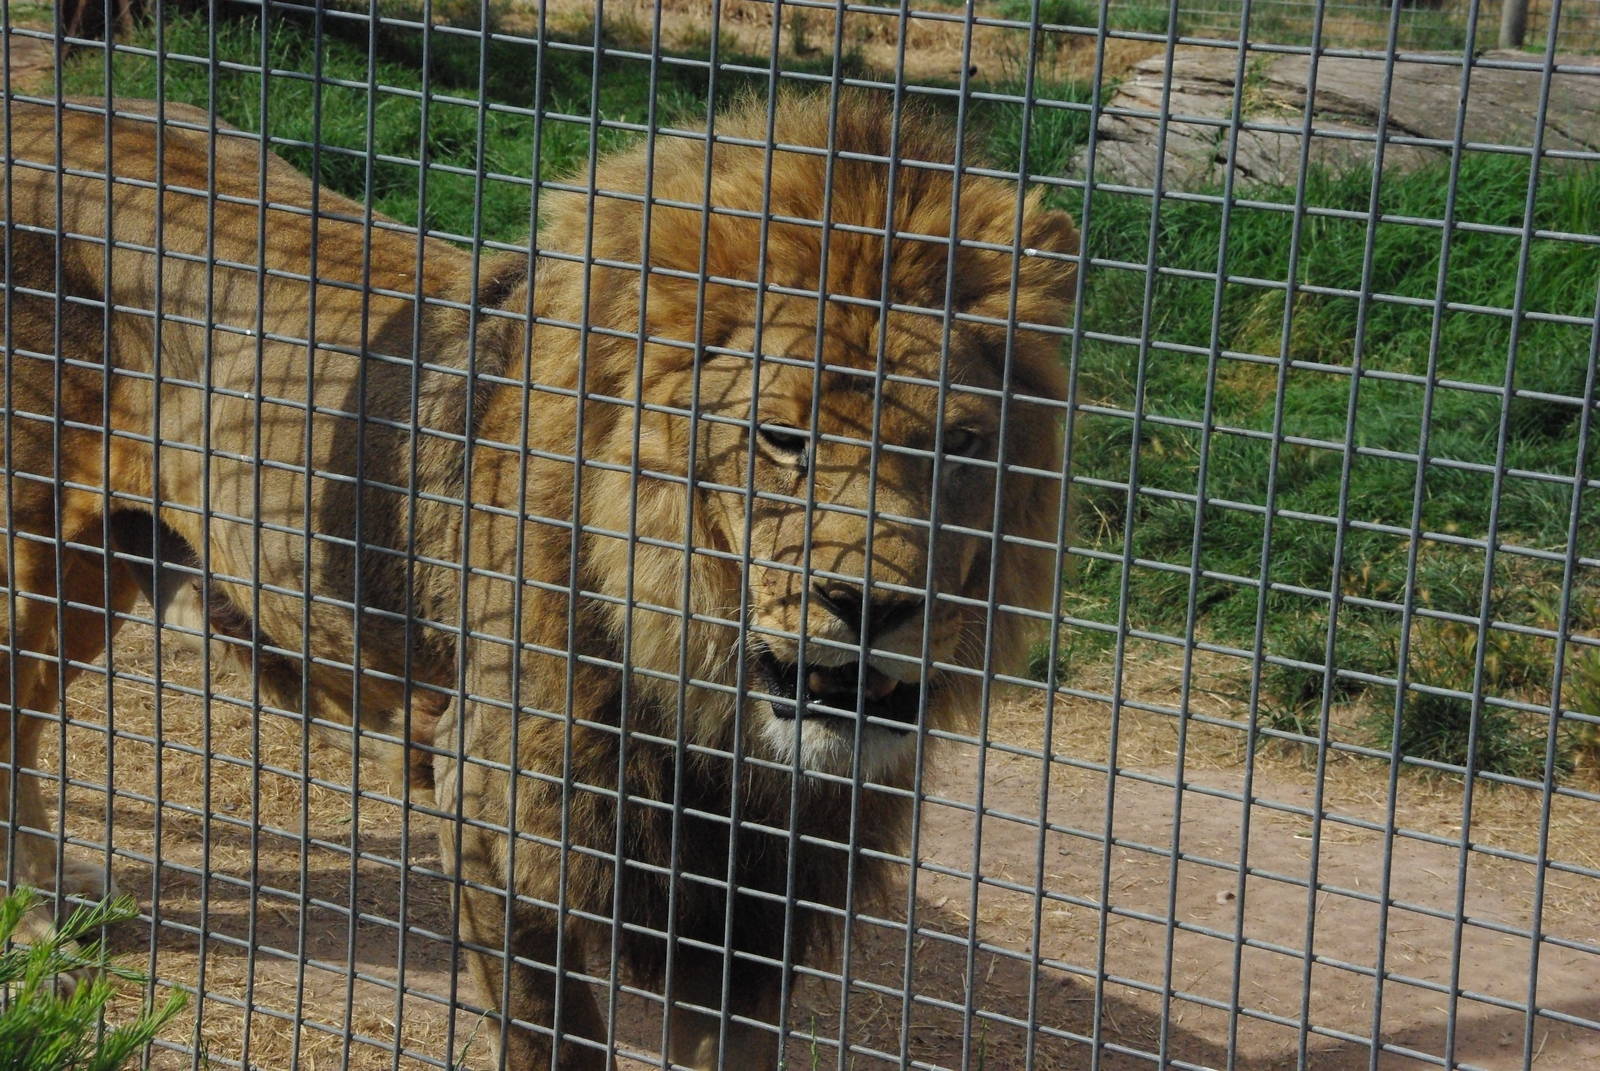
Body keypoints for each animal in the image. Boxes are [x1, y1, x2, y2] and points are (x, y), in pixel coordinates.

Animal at [0, 92, 1076, 1068]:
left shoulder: (750, 902)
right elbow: (547, 1039)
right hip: (37, 558)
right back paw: (39, 921)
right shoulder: (489, 811)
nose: (875, 606)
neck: (707, 689)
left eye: (963, 442)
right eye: (782, 437)